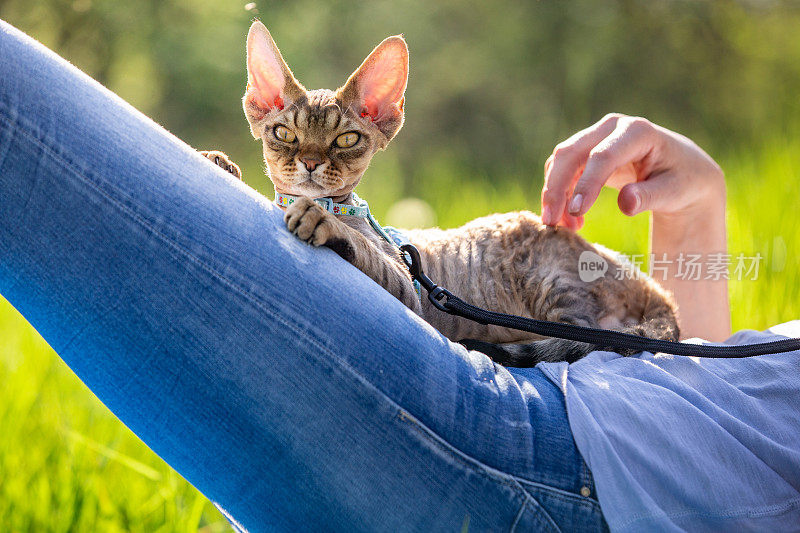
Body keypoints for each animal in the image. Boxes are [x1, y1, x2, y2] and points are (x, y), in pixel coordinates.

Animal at [203, 19, 680, 362]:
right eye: (284, 133)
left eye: (346, 139)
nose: (311, 162)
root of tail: (651, 287)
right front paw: (220, 162)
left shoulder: (405, 288)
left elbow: (366, 249)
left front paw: (323, 221)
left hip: (555, 285)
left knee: (586, 338)